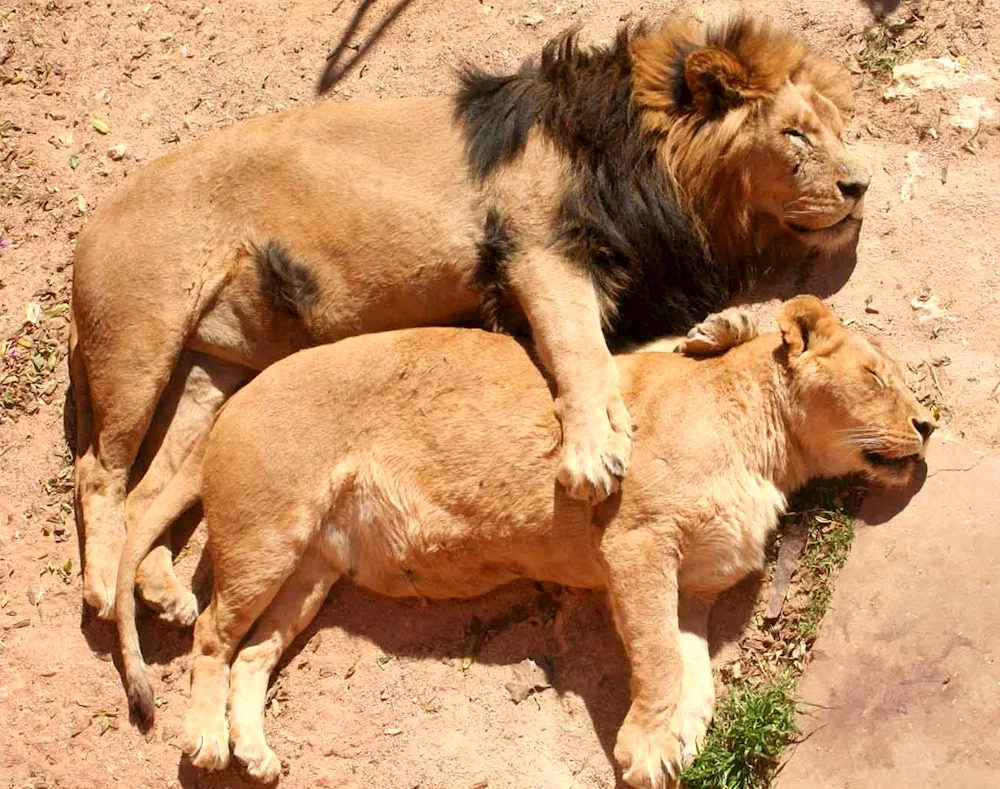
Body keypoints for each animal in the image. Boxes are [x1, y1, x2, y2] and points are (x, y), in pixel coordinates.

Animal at [72, 12, 868, 616]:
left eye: (836, 129)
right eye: (795, 134)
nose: (861, 185)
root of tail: (91, 220)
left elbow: (639, 350)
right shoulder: (536, 248)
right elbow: (581, 350)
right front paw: (592, 453)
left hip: (217, 373)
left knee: (152, 490)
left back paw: (158, 587)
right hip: (138, 343)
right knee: (98, 470)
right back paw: (103, 588)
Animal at [111, 298, 928, 788]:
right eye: (877, 376)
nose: (928, 424)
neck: (771, 449)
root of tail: (234, 399)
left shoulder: (693, 587)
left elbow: (695, 671)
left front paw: (682, 739)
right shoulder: (636, 543)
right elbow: (660, 660)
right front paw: (646, 749)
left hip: (312, 569)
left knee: (252, 650)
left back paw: (253, 750)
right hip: (265, 536)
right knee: (212, 634)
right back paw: (206, 741)